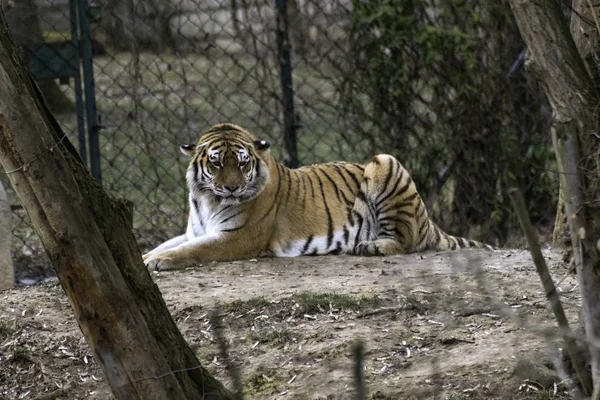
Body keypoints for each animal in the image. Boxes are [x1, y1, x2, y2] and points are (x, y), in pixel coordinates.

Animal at [143, 122, 494, 272]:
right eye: (216, 163)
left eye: (242, 163)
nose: (231, 188)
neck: (207, 200)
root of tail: (428, 220)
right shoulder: (195, 230)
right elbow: (170, 243)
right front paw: (147, 255)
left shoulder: (239, 237)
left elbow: (193, 250)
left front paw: (157, 262)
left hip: (385, 161)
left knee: (406, 240)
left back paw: (371, 246)